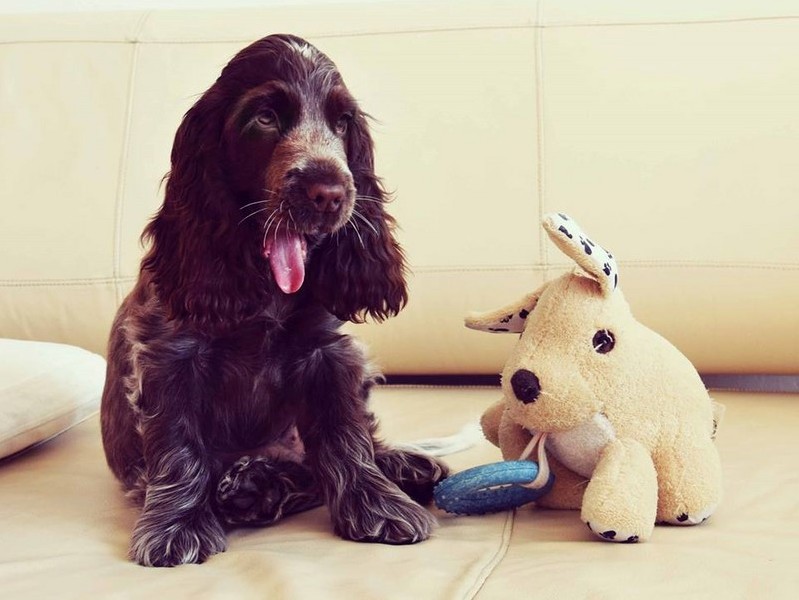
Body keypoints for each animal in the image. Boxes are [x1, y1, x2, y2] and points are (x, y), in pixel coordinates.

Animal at [100, 34, 448, 567]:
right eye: (265, 118)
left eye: (342, 122)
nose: (329, 193)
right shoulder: (168, 356)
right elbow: (178, 446)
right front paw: (177, 526)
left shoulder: (328, 353)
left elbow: (344, 434)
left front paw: (377, 505)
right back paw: (250, 490)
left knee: (337, 450)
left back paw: (393, 467)